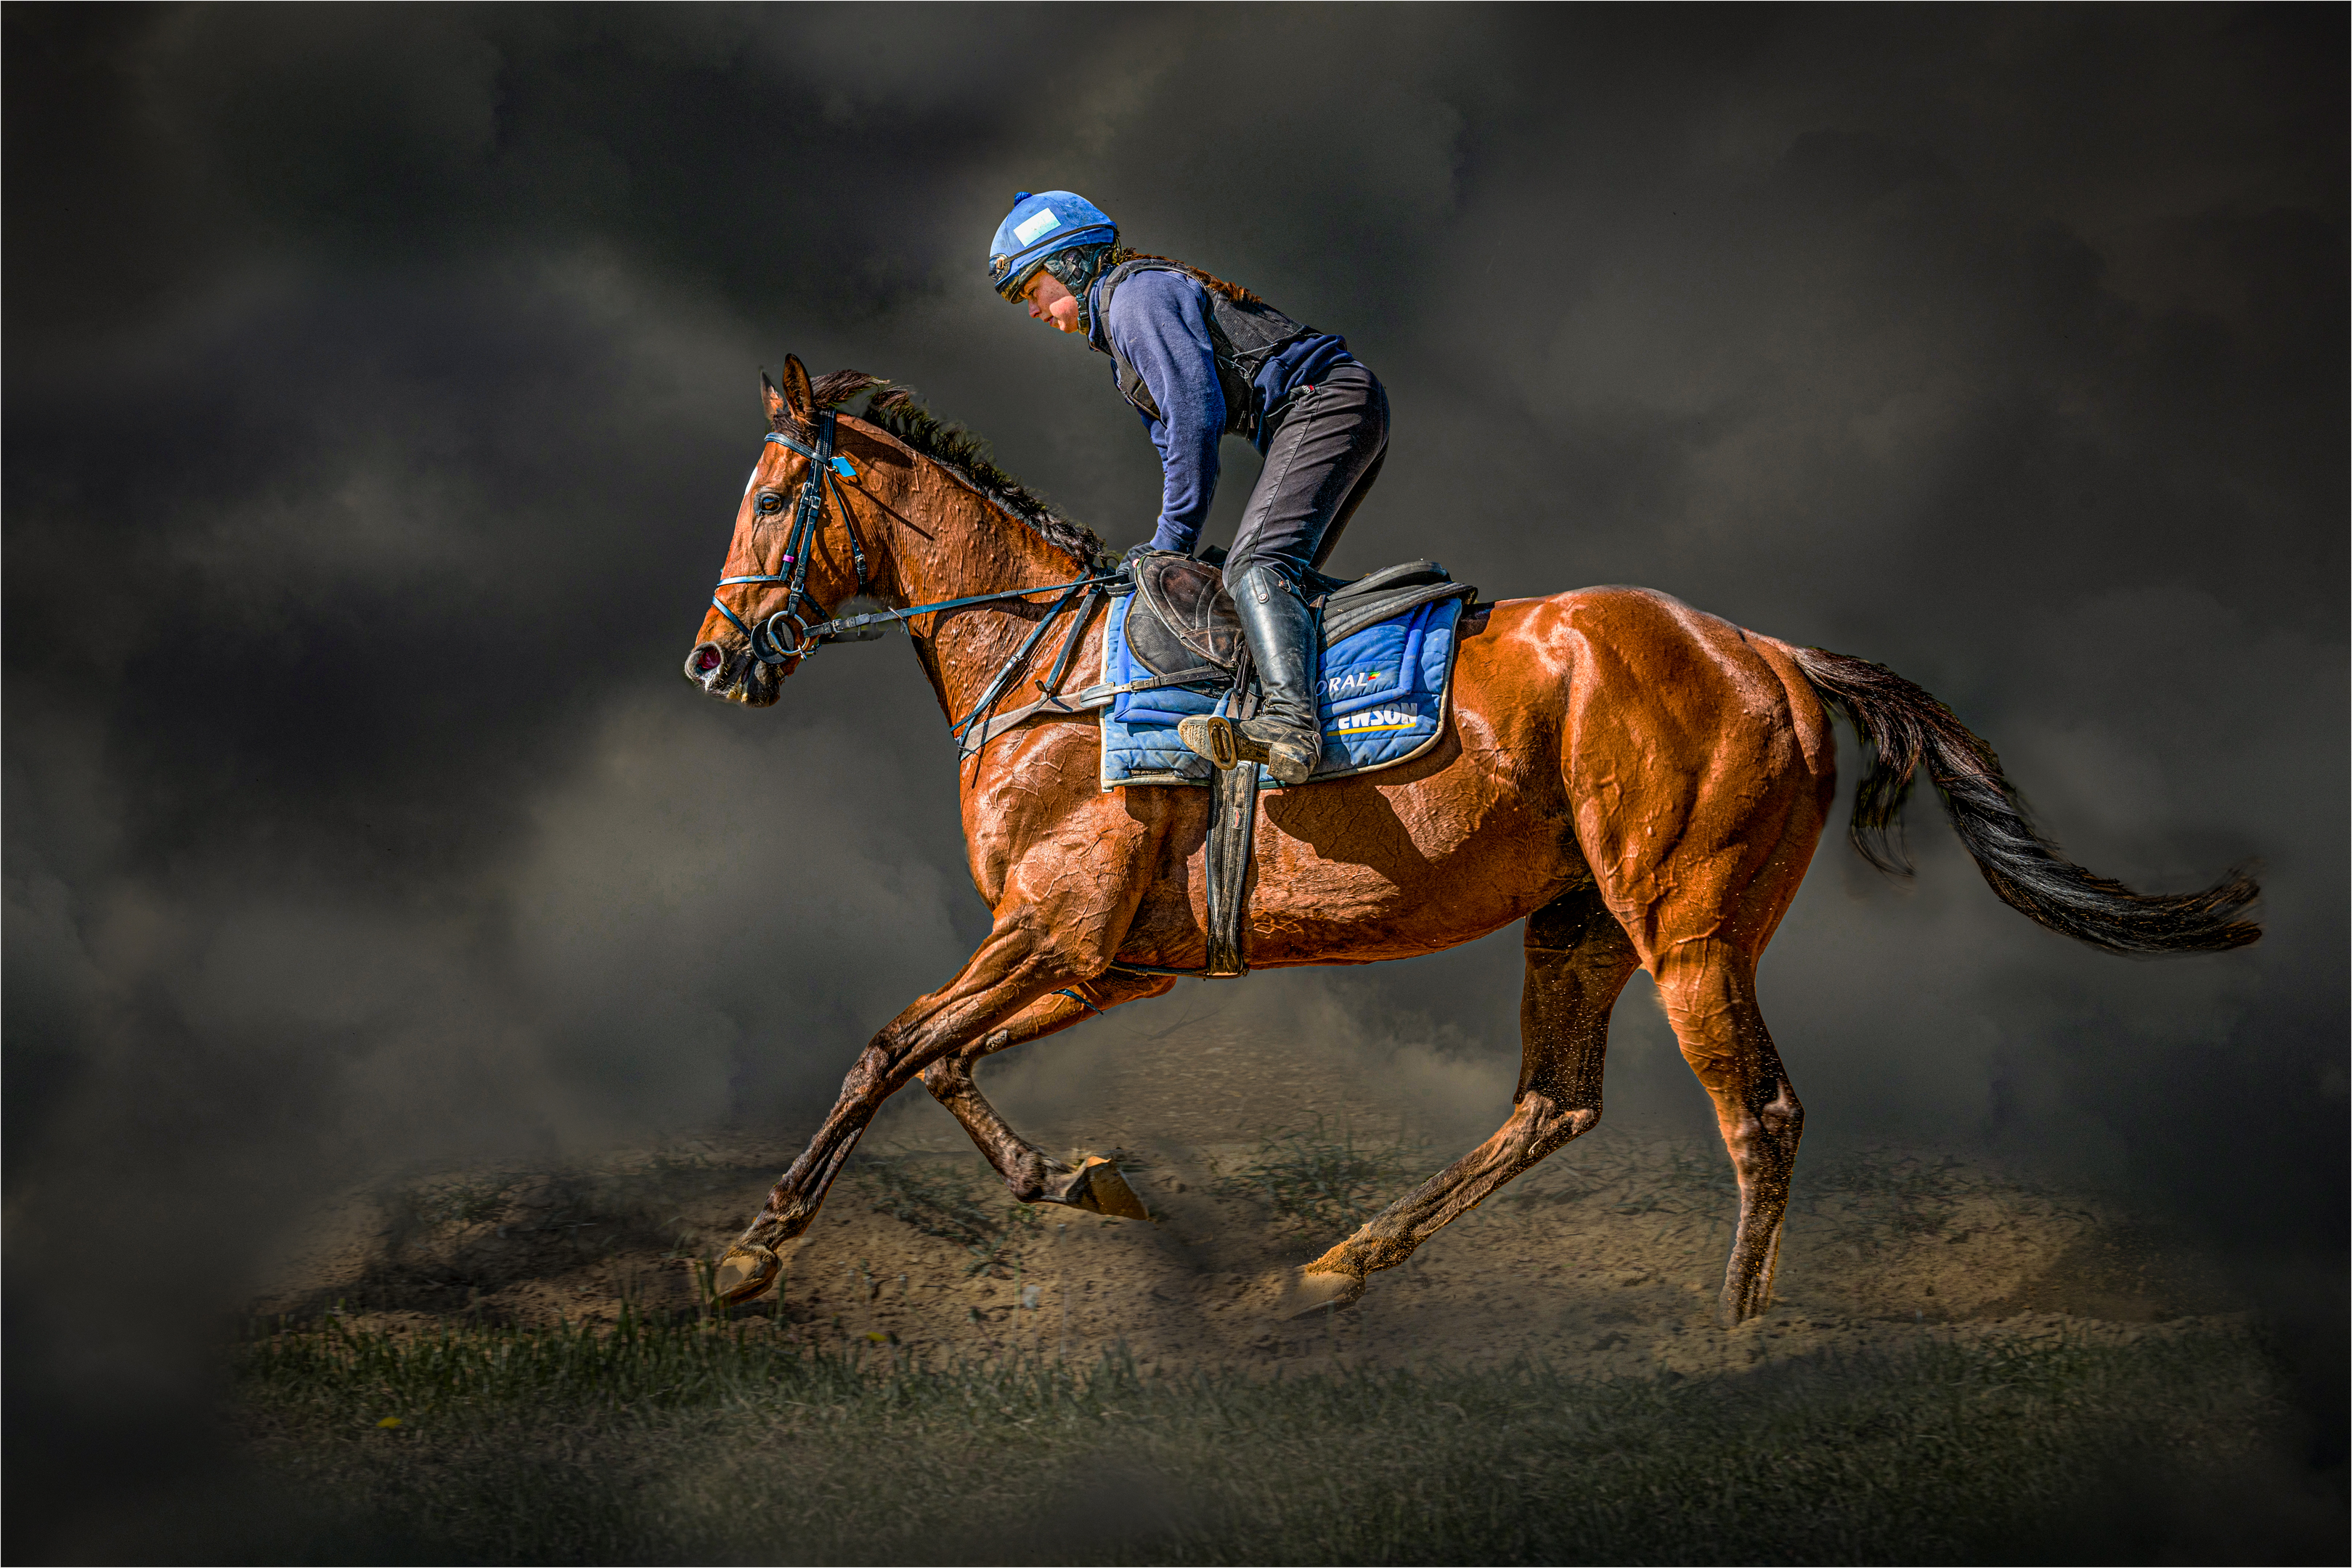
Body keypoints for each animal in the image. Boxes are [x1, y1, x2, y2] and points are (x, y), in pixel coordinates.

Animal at [682, 362, 2258, 1335]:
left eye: (764, 500)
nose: (712, 660)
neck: (1041, 663)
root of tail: (1768, 651)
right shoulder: (1101, 961)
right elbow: (941, 1060)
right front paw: (1076, 1181)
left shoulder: (1051, 934)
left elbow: (886, 1048)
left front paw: (756, 1246)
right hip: (1578, 921)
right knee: (1551, 1105)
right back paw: (1333, 1267)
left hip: (1687, 929)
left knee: (1756, 1118)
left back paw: (1731, 1346)